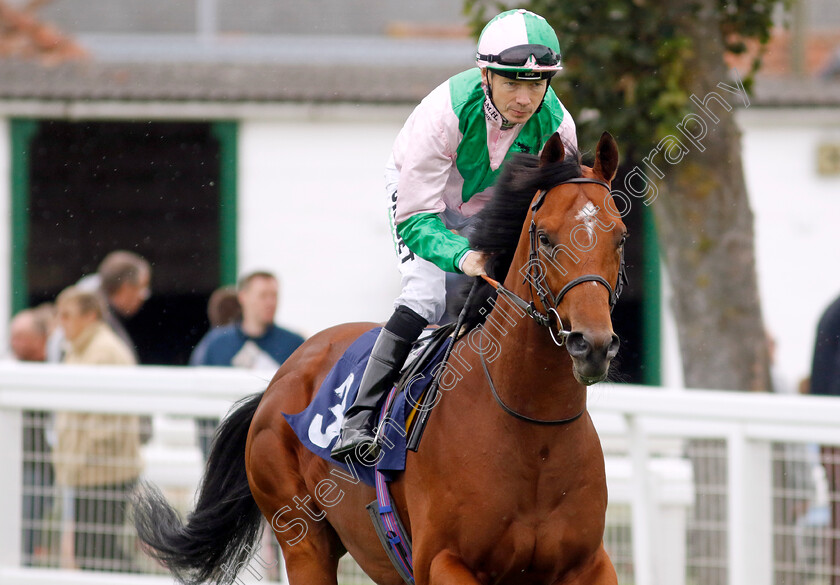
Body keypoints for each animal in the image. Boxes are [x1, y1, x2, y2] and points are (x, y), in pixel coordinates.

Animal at [135, 132, 628, 584]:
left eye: (620, 238)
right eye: (544, 238)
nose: (592, 344)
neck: (532, 430)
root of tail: (279, 379)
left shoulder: (589, 564)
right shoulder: (443, 561)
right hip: (303, 539)